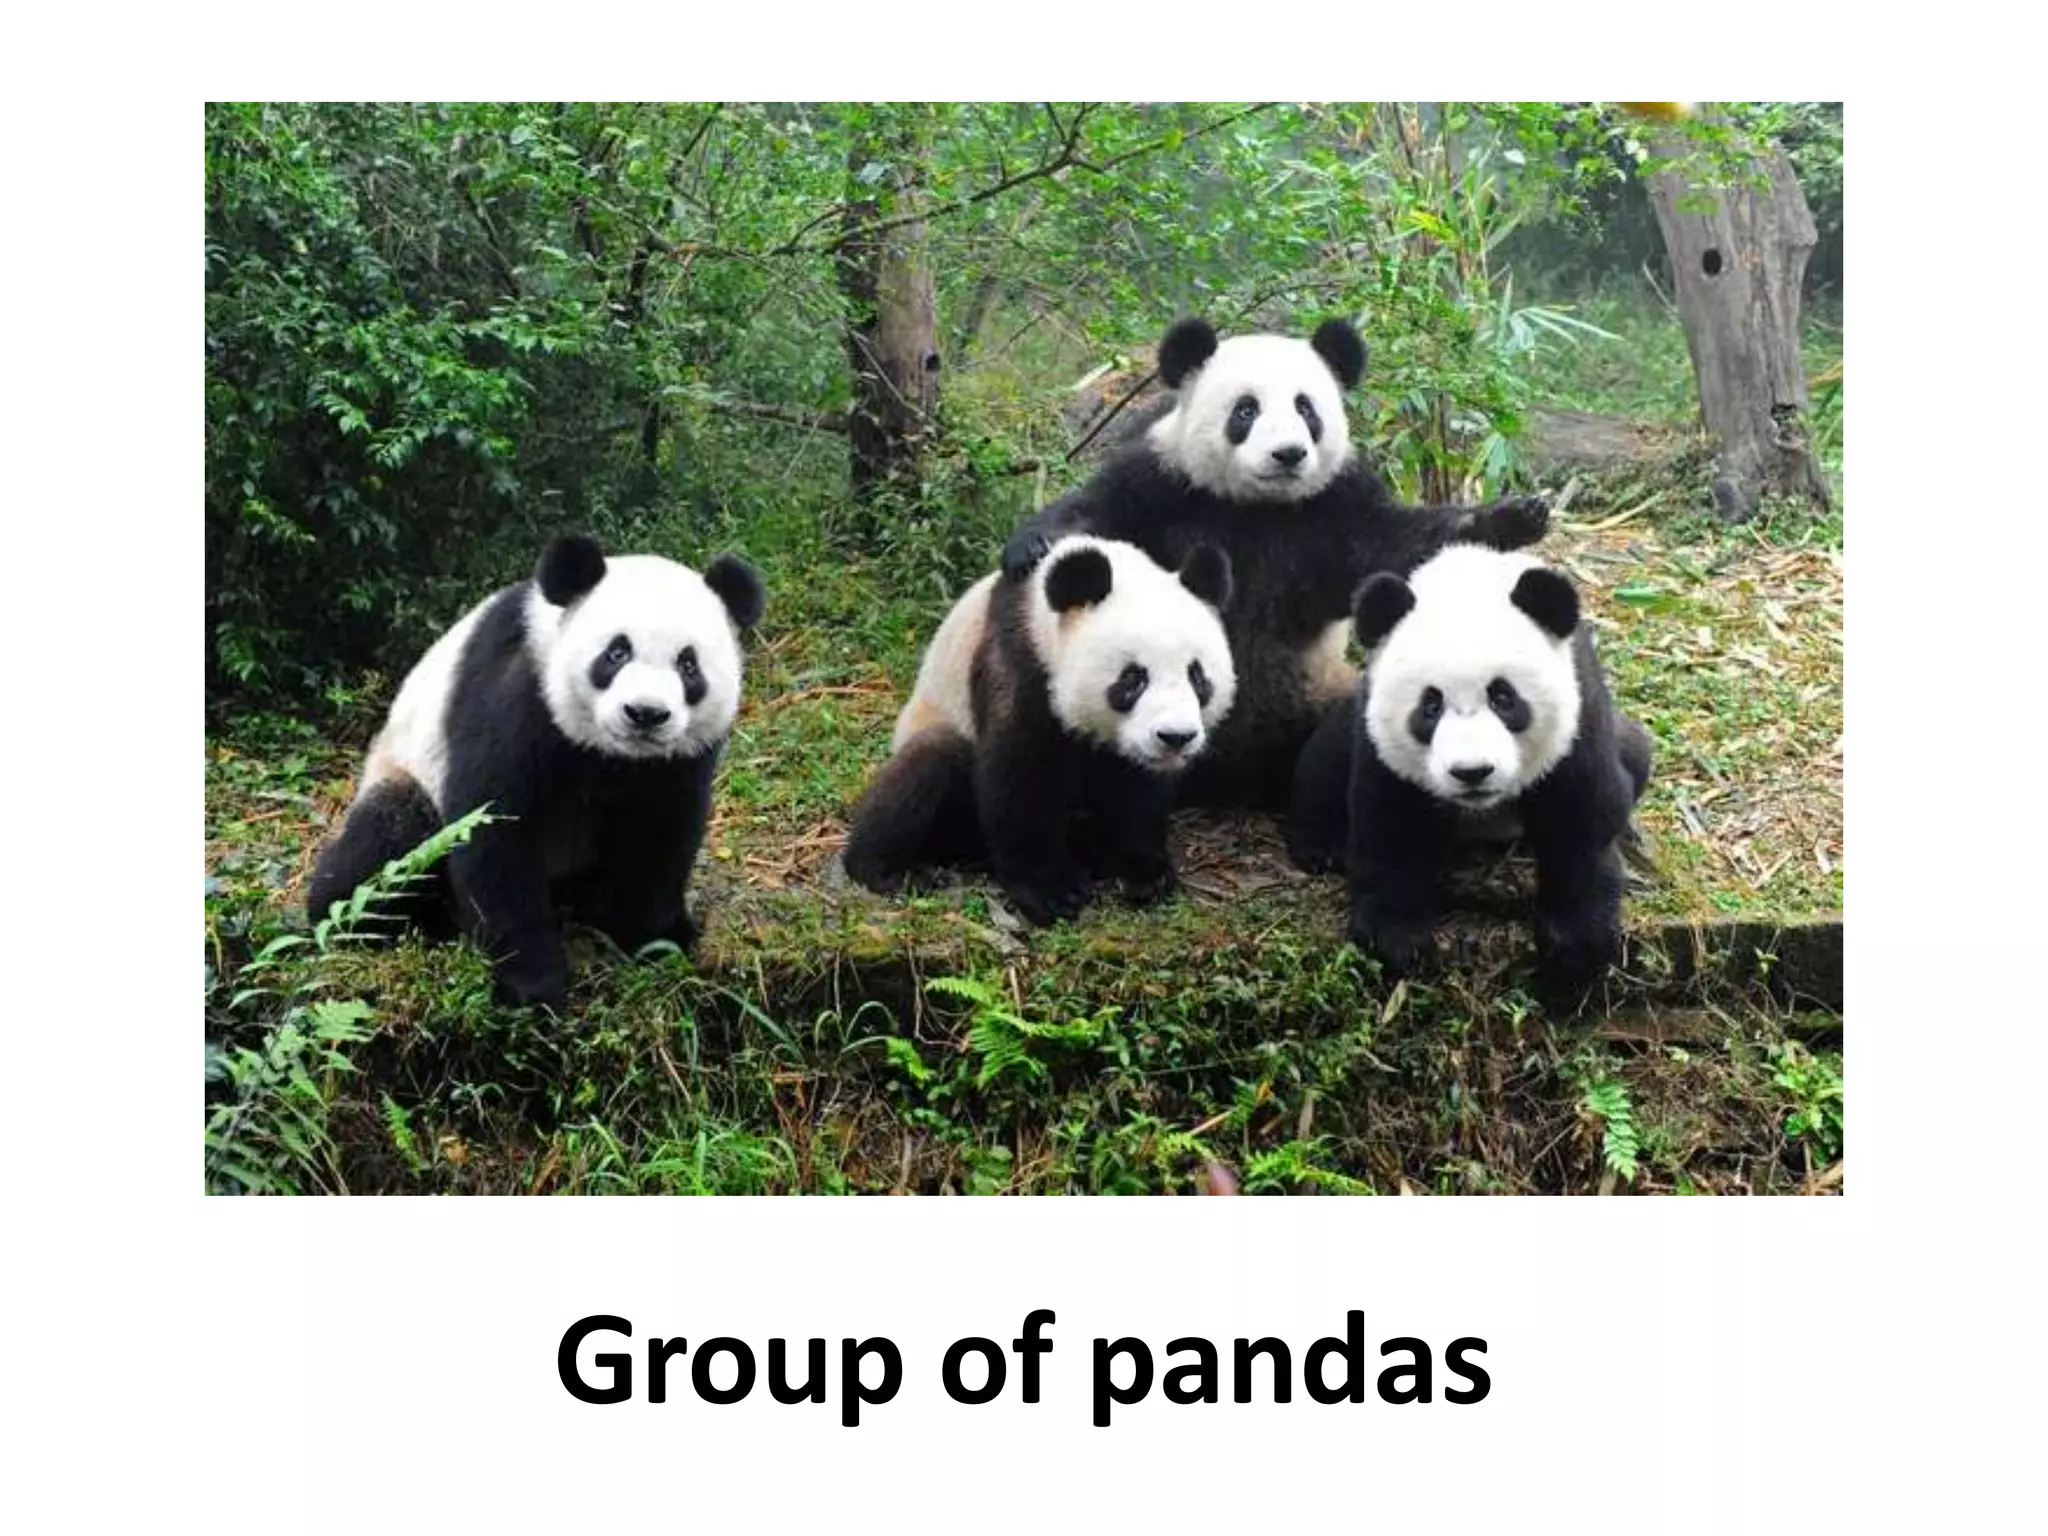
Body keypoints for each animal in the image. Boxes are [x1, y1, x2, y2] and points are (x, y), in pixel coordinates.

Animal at [305, 533, 765, 1010]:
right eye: (617, 652)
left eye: (688, 665)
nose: (646, 713)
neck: (612, 753)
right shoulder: (517, 694)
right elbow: (494, 829)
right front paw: (533, 987)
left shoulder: (678, 760)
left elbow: (659, 835)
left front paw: (658, 942)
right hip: (403, 771)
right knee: (389, 840)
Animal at [844, 535, 1236, 927]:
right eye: (1133, 678)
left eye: (1197, 676)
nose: (1176, 737)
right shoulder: (1018, 660)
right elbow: (1021, 774)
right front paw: (1052, 892)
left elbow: (1134, 787)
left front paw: (1143, 872)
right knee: (928, 765)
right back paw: (890, 869)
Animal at [1001, 315, 1551, 810]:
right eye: (1246, 409)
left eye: (1306, 408)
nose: (1288, 454)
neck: (1257, 505)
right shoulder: (1161, 483)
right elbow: (1097, 514)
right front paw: (1032, 548)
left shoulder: (1334, 505)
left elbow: (1396, 546)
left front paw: (1514, 517)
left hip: (1321, 692)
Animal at [1288, 544, 1654, 990]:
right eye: (1430, 706)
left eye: (1503, 698)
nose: (1472, 772)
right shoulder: (1382, 742)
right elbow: (1390, 826)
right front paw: (1396, 940)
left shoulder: (1579, 713)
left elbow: (1584, 818)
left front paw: (1577, 947)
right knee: (1324, 763)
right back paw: (1322, 847)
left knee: (1636, 753)